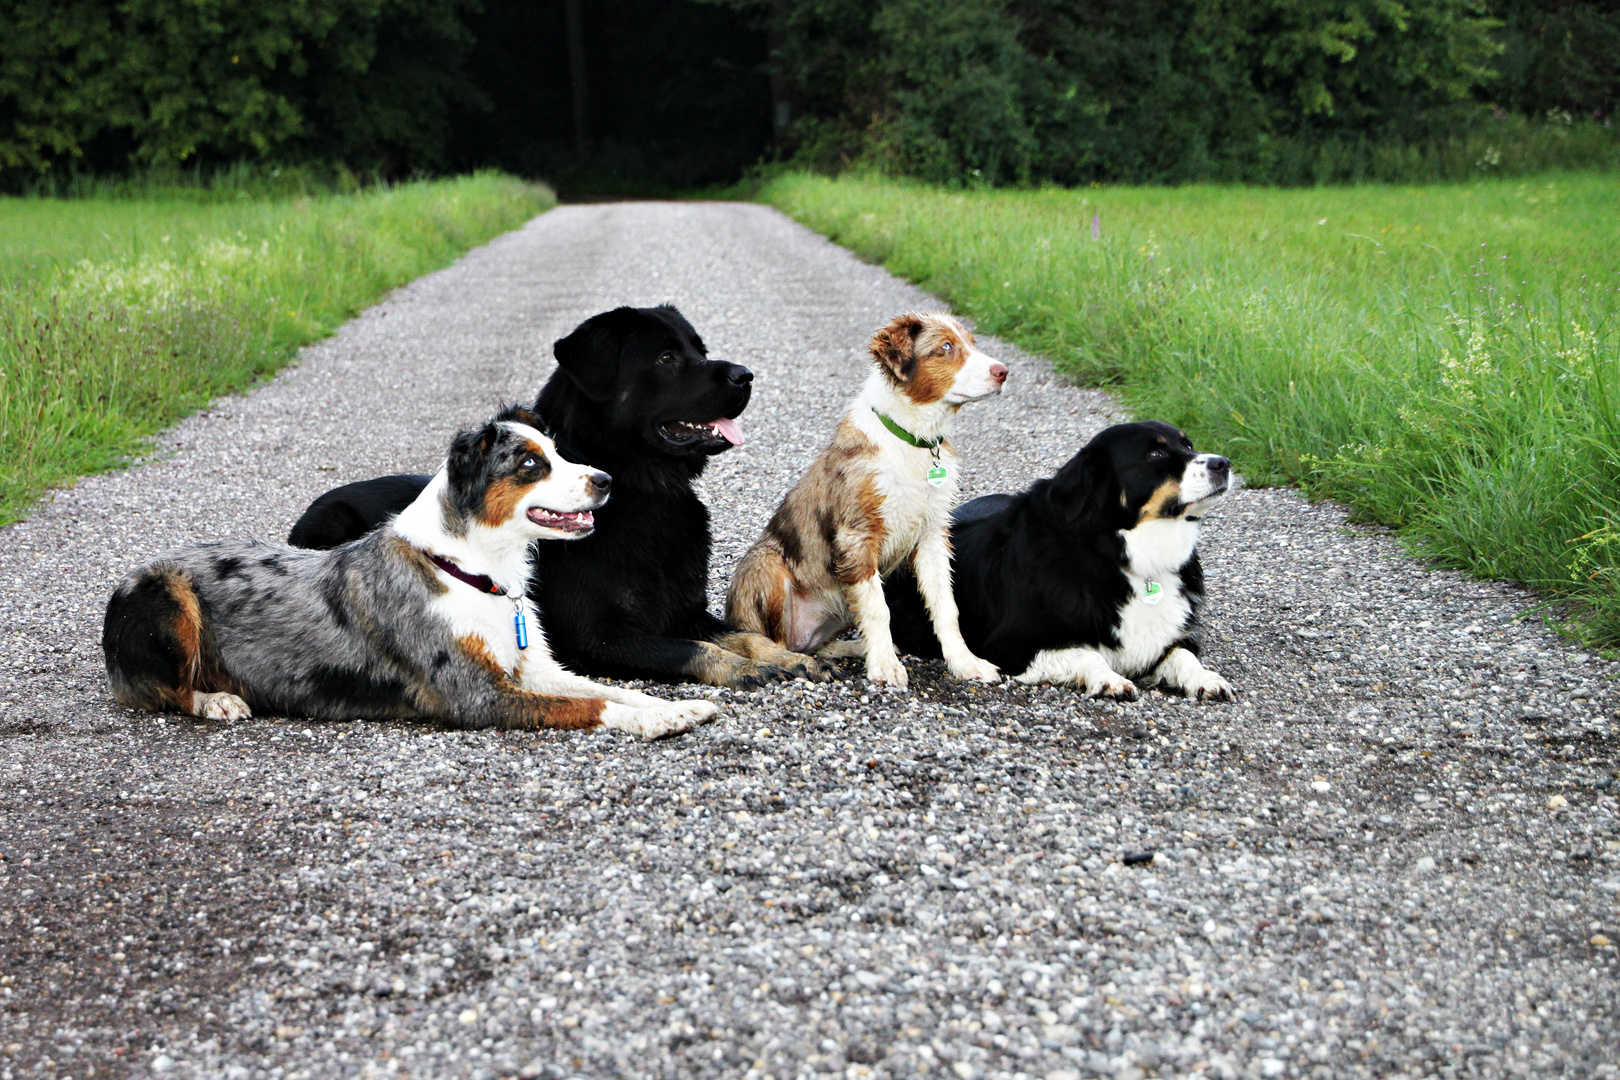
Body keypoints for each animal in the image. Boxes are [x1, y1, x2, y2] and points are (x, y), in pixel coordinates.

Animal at [106, 409, 722, 738]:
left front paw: (676, 707)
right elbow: (592, 705)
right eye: (531, 464)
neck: (472, 571)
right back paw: (218, 701)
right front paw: (655, 723)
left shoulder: (532, 668)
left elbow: (611, 688)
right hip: (167, 597)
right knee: (161, 690)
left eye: (560, 452)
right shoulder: (477, 694)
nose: (605, 480)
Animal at [281, 304, 822, 689]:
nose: (745, 375)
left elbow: (744, 634)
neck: (642, 493)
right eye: (666, 358)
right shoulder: (598, 639)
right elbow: (694, 649)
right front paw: (742, 668)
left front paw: (783, 656)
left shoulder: (685, 612)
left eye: (699, 349)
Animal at [729, 307, 1004, 689]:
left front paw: (966, 663)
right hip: (766, 565)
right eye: (946, 348)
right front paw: (885, 667)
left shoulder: (933, 535)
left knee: (818, 643)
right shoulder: (857, 536)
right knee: (776, 644)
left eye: (973, 343)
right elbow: (879, 609)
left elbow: (946, 607)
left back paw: (854, 648)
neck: (911, 440)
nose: (1003, 372)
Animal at [887, 420, 1237, 702]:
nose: (1224, 463)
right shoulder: (1008, 646)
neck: (1116, 552)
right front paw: (1109, 680)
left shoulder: (1167, 638)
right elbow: (1087, 655)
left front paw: (1206, 679)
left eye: (1188, 445)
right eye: (1155, 455)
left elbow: (1184, 656)